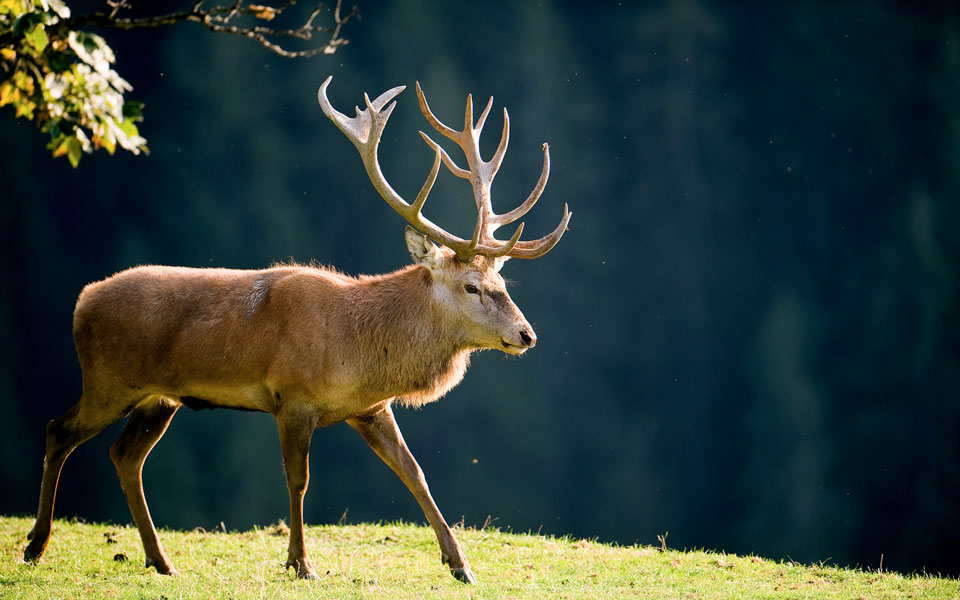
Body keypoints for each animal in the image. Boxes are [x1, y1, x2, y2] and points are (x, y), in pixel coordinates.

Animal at [22, 75, 570, 584]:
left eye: (502, 281)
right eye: (473, 287)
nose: (527, 335)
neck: (361, 350)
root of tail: (82, 302)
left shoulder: (370, 408)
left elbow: (415, 473)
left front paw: (460, 565)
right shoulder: (294, 398)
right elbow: (298, 480)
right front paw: (301, 563)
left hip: (159, 398)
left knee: (124, 456)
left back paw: (160, 561)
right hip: (109, 380)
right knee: (58, 431)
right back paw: (36, 545)